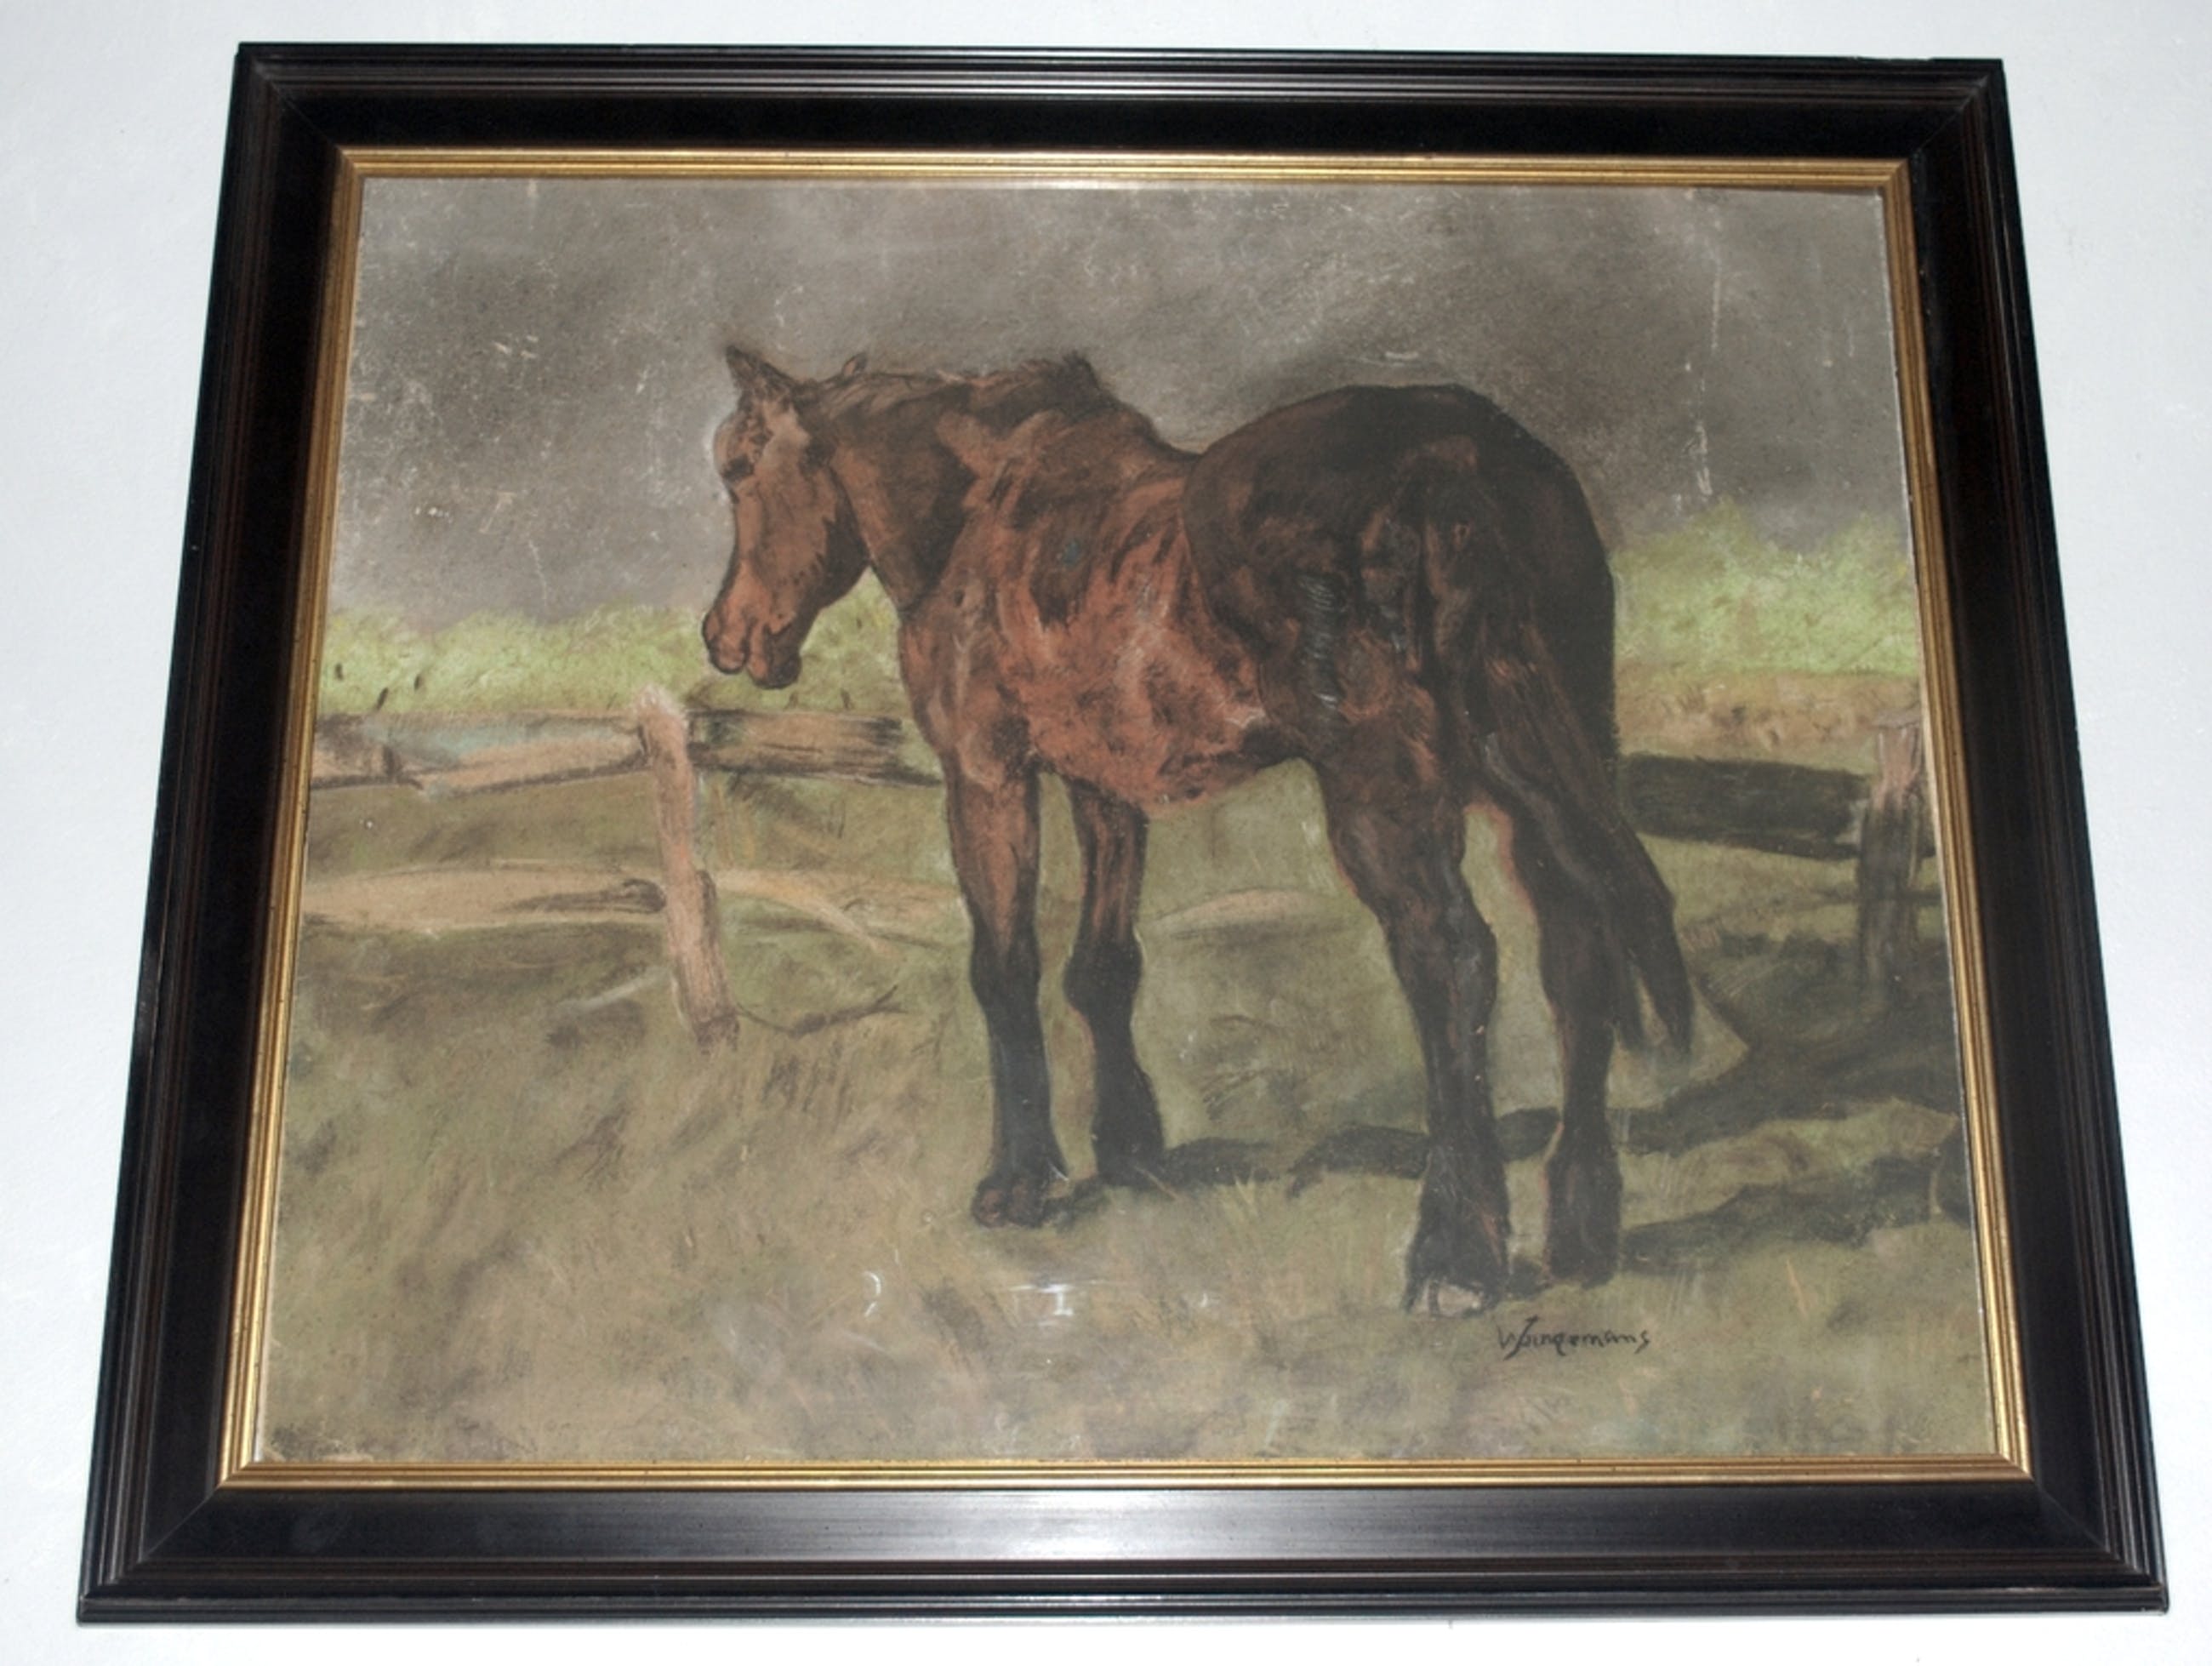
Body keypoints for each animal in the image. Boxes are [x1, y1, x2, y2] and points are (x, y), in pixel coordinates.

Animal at [702, 348, 1690, 1311]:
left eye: (738, 469)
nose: (725, 636)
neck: (979, 514)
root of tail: (1452, 460)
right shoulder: (1103, 787)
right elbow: (1103, 968)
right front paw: (1129, 1145)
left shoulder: (985, 775)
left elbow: (1004, 970)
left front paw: (1020, 1180)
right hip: (1531, 779)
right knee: (1577, 949)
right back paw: (1581, 1227)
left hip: (1391, 799)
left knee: (1449, 963)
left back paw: (1456, 1256)